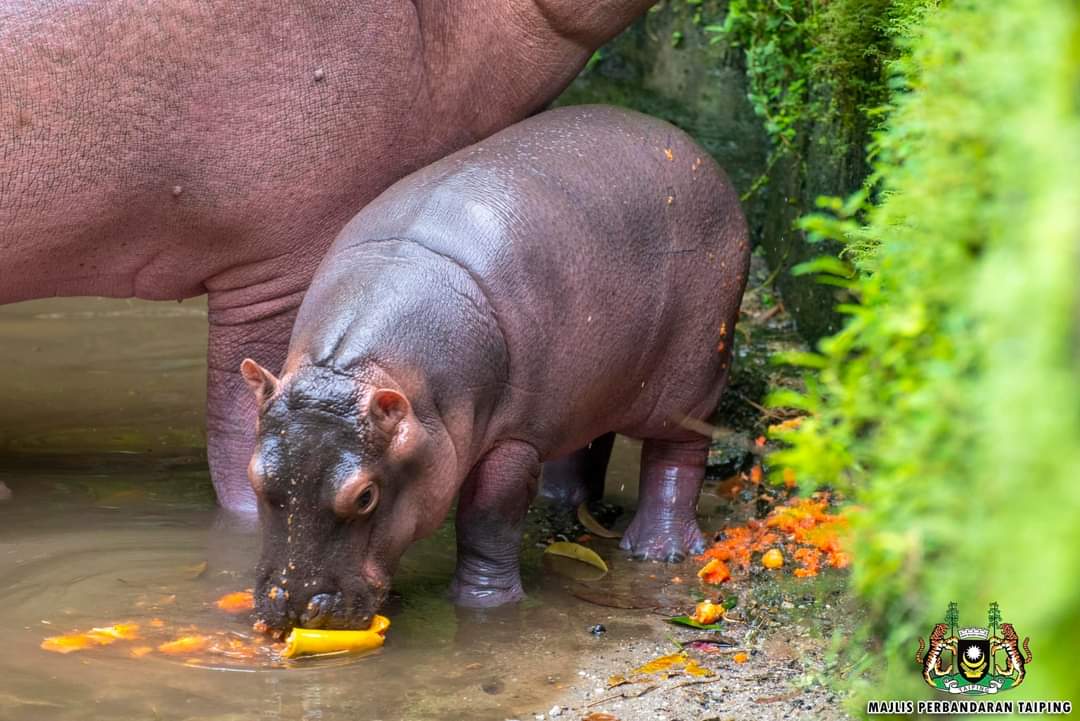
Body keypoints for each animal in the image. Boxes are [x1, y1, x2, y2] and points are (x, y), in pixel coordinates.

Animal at [240, 105, 750, 630]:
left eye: (365, 496)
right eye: (254, 475)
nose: (294, 608)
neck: (359, 370)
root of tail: (683, 142)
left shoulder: (514, 438)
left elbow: (488, 515)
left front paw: (483, 605)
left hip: (693, 374)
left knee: (678, 453)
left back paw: (657, 551)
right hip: (592, 383)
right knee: (589, 438)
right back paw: (561, 502)